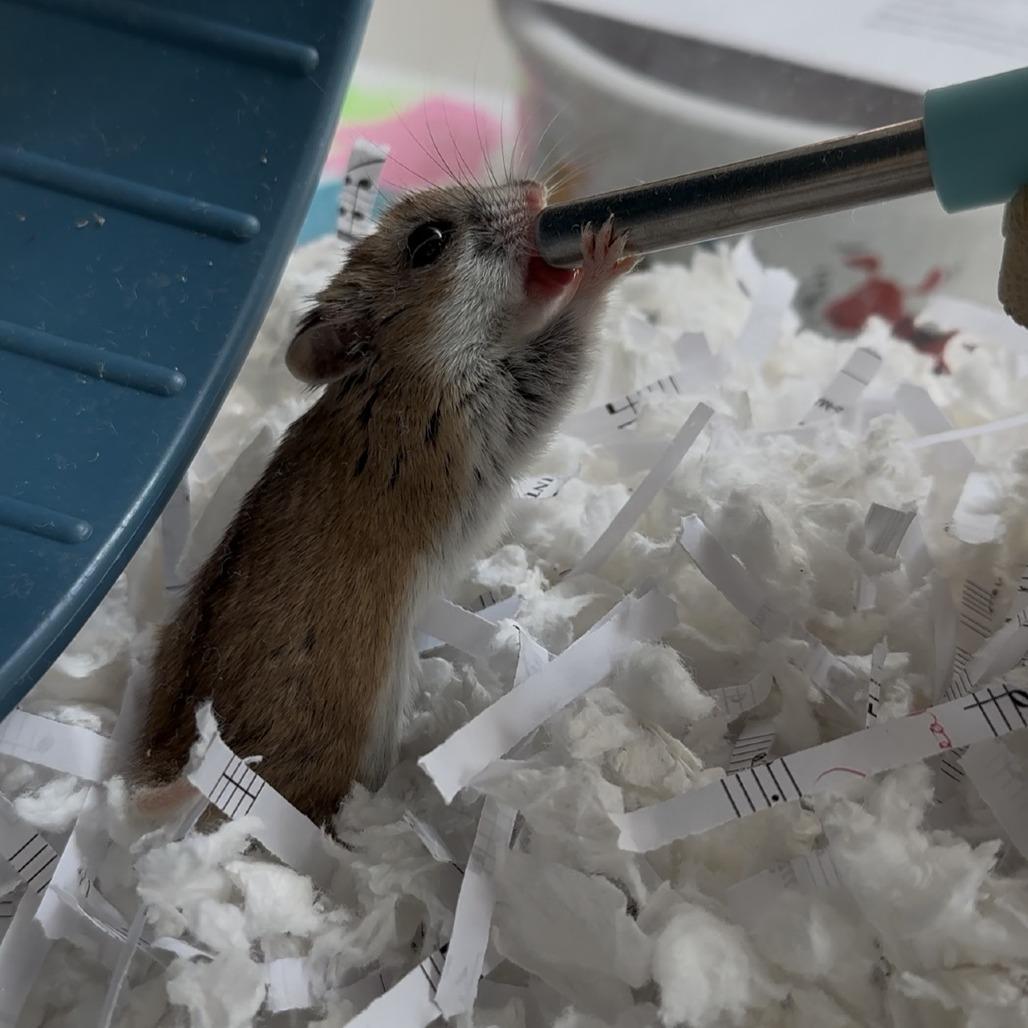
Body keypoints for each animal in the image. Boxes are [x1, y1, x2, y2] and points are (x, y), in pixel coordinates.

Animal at [132, 179, 635, 829]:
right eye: (428, 243)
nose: (534, 191)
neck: (400, 368)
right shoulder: (501, 401)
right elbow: (566, 345)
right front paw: (603, 253)